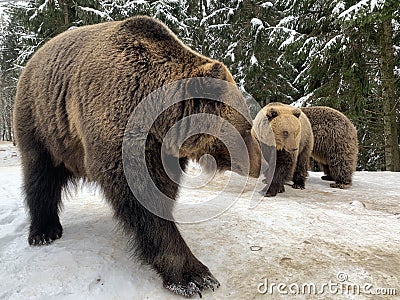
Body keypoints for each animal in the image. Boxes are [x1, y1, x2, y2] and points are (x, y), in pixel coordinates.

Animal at [13, 15, 262, 298]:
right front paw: (194, 276)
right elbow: (142, 200)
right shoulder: (120, 129)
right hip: (43, 122)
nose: (260, 162)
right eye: (246, 127)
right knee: (40, 176)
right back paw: (44, 231)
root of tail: (33, 59)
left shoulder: (162, 151)